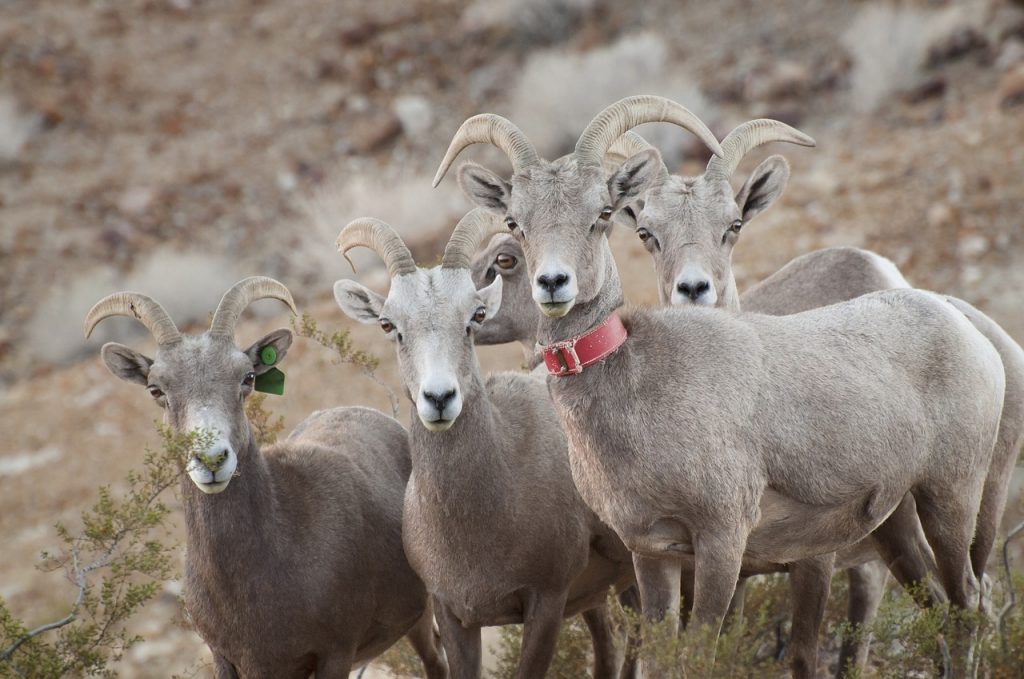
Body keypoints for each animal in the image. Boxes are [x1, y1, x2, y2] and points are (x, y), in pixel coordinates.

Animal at [434, 94, 1007, 675]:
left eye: (602, 215)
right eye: (516, 222)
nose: (553, 283)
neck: (639, 400)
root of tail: (965, 325)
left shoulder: (722, 545)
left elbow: (702, 655)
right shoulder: (653, 556)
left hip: (951, 497)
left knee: (969, 603)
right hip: (897, 525)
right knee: (942, 607)